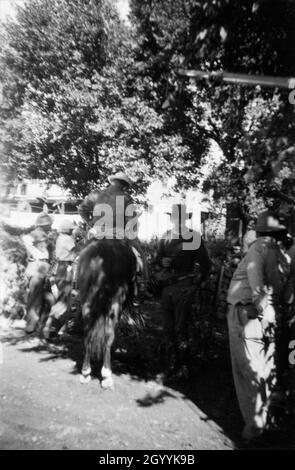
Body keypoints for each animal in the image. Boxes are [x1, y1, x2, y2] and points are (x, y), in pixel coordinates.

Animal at [77, 239, 138, 390]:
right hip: (115, 304)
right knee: (108, 336)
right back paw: (106, 375)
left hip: (86, 303)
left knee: (87, 335)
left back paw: (86, 372)